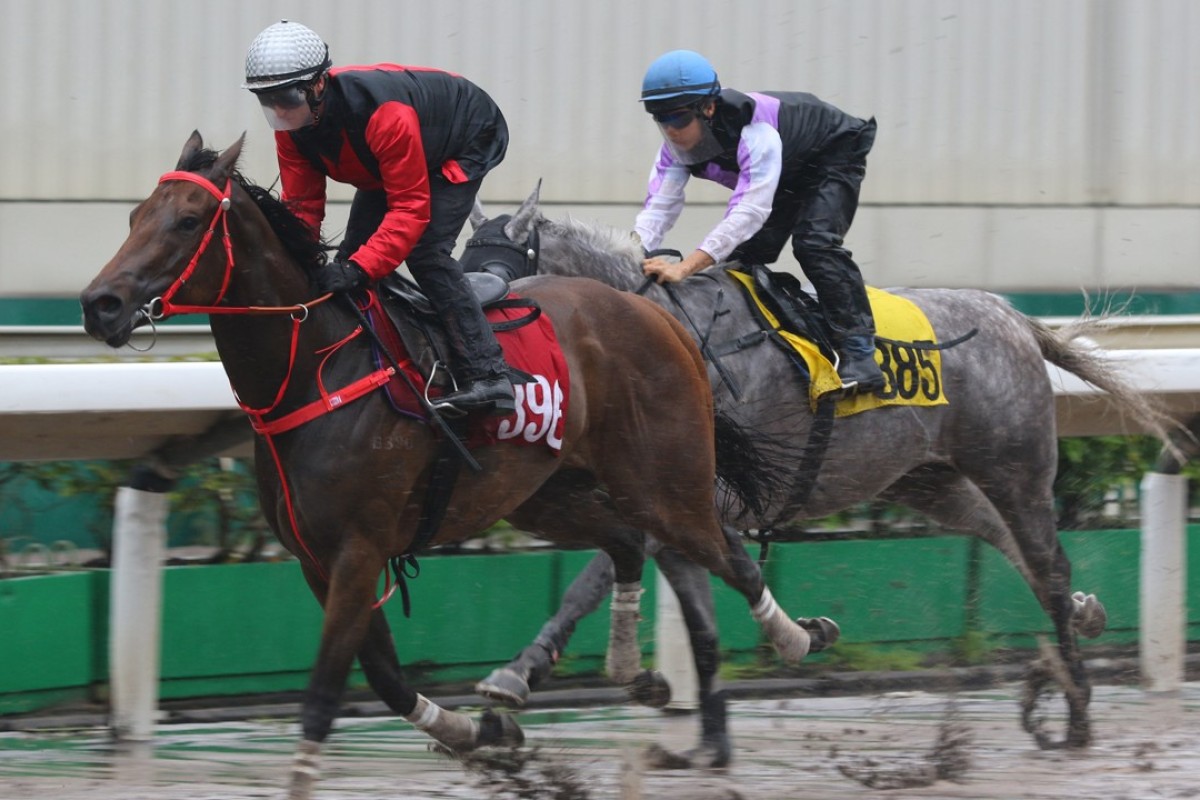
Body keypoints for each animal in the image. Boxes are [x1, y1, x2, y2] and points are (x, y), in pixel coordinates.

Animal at [79, 133, 835, 800]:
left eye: (187, 220)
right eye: (134, 216)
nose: (99, 305)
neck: (317, 372)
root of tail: (658, 313)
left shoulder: (359, 549)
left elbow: (324, 690)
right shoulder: (317, 557)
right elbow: (385, 676)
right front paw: (481, 734)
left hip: (661, 483)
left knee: (727, 555)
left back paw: (800, 637)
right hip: (544, 494)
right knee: (626, 543)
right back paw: (631, 670)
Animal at [463, 183, 1176, 762]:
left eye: (497, 284)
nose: (474, 379)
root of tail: (1011, 315)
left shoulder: (696, 498)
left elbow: (597, 577)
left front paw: (515, 679)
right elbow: (655, 595)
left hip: (1015, 464)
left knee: (1047, 562)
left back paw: (1076, 706)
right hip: (927, 478)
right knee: (1004, 539)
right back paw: (1081, 621)